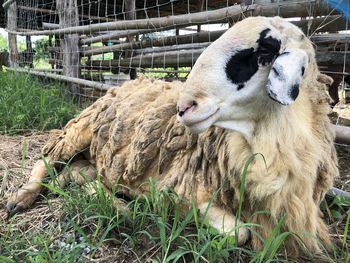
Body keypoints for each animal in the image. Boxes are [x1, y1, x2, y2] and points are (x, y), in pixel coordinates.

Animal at [6, 16, 340, 256]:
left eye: (266, 48)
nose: (184, 107)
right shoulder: (185, 188)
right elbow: (240, 232)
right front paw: (167, 207)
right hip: (79, 129)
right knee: (45, 162)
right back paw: (20, 199)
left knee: (76, 175)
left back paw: (114, 204)